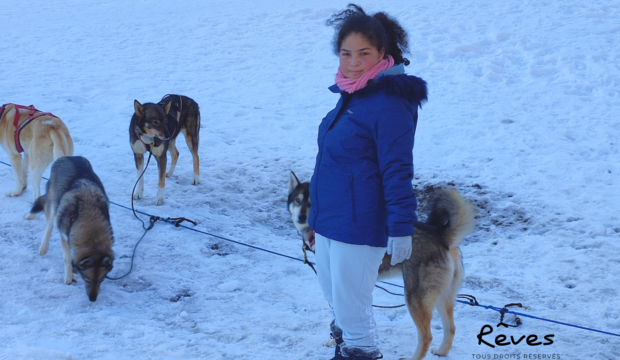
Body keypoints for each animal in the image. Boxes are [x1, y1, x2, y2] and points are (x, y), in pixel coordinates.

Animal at [25, 157, 115, 300]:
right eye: (87, 280)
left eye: (101, 280)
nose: (93, 299)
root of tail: (67, 157)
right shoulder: (64, 236)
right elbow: (67, 259)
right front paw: (69, 276)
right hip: (54, 207)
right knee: (49, 224)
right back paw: (43, 247)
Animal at [288, 172, 478, 360]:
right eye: (297, 200)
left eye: (312, 202)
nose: (301, 217)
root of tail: (441, 236)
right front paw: (335, 340)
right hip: (442, 296)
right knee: (451, 328)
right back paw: (442, 351)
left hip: (415, 298)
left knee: (426, 336)